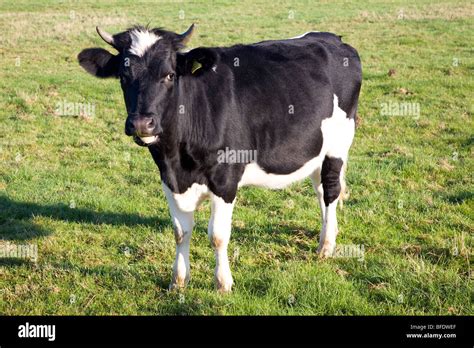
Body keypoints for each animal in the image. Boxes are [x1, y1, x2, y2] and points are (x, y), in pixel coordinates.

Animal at [78, 23, 362, 290]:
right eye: (123, 76)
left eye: (169, 75)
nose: (141, 124)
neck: (178, 160)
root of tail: (331, 38)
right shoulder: (168, 180)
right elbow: (180, 232)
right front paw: (178, 281)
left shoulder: (225, 180)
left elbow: (217, 235)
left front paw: (223, 283)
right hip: (317, 149)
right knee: (320, 189)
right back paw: (326, 235)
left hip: (339, 144)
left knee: (331, 190)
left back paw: (326, 246)